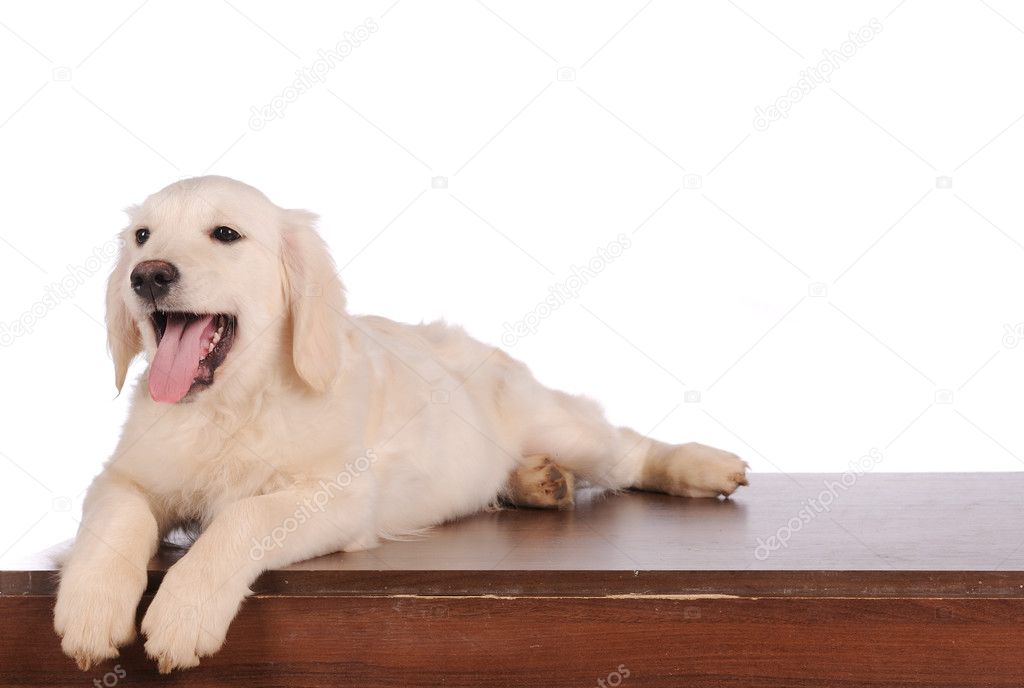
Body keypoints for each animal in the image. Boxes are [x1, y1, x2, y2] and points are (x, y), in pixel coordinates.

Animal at [51, 176, 749, 671]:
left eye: (225, 233)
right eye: (143, 237)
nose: (146, 276)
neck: (231, 404)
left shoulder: (337, 497)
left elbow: (243, 517)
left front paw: (183, 611)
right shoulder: (125, 475)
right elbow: (117, 516)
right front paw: (90, 608)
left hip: (560, 424)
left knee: (626, 449)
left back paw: (700, 464)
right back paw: (537, 482)